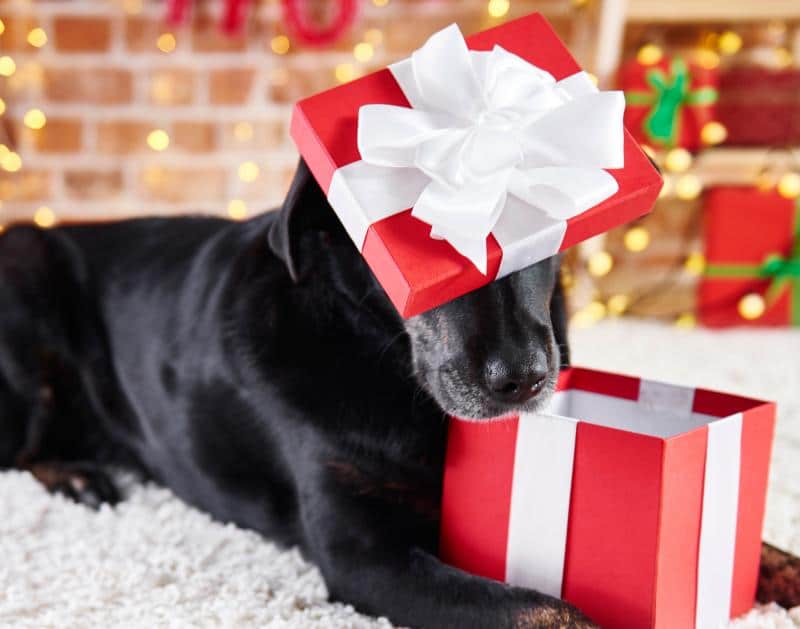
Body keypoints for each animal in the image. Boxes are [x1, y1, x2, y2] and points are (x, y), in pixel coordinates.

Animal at [0, 159, 796, 624]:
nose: (525, 379)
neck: (377, 350)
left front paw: (774, 565)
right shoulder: (364, 555)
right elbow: (543, 610)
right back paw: (77, 473)